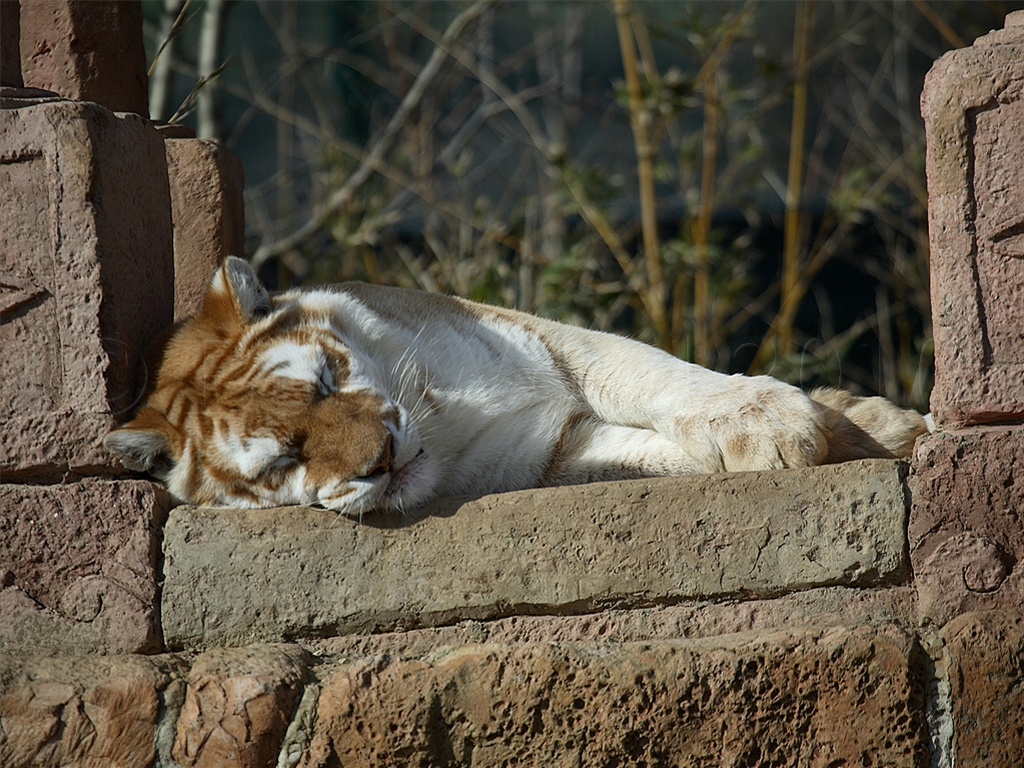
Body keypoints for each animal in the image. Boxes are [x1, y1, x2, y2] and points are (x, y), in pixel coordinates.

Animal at [104, 257, 929, 516]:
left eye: (329, 380)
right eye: (283, 460)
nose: (383, 458)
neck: (440, 412)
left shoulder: (559, 343)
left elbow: (659, 375)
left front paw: (771, 419)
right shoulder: (555, 451)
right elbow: (654, 451)